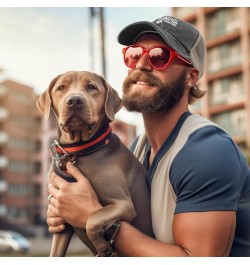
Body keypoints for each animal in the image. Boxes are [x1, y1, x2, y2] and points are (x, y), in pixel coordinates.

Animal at [36, 70, 153, 256]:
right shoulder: (61, 223)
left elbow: (92, 219)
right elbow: (55, 253)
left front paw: (103, 248)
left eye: (91, 87)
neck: (79, 153)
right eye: (61, 87)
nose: (74, 101)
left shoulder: (123, 205)